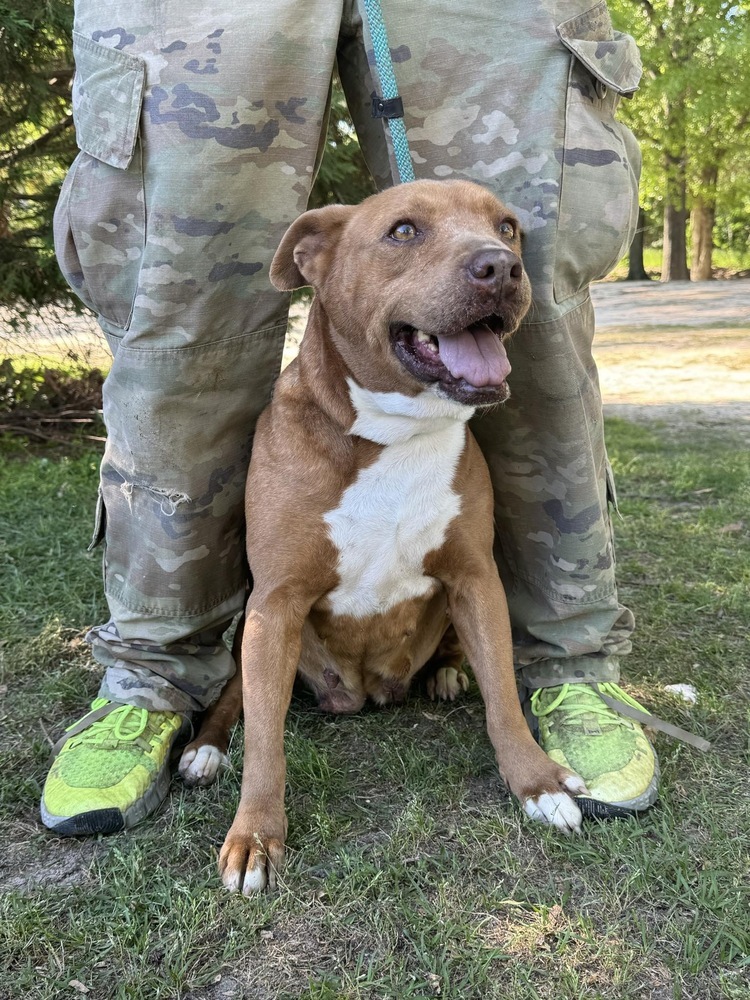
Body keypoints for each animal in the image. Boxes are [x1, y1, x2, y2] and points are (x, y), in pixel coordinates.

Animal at [181, 178, 588, 892]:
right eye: (403, 231)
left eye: (506, 227)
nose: (501, 267)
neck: (394, 434)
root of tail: (366, 692)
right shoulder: (275, 602)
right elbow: (264, 735)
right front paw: (255, 834)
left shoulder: (475, 577)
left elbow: (503, 697)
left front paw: (536, 783)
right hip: (253, 624)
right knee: (237, 693)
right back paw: (206, 747)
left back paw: (447, 673)